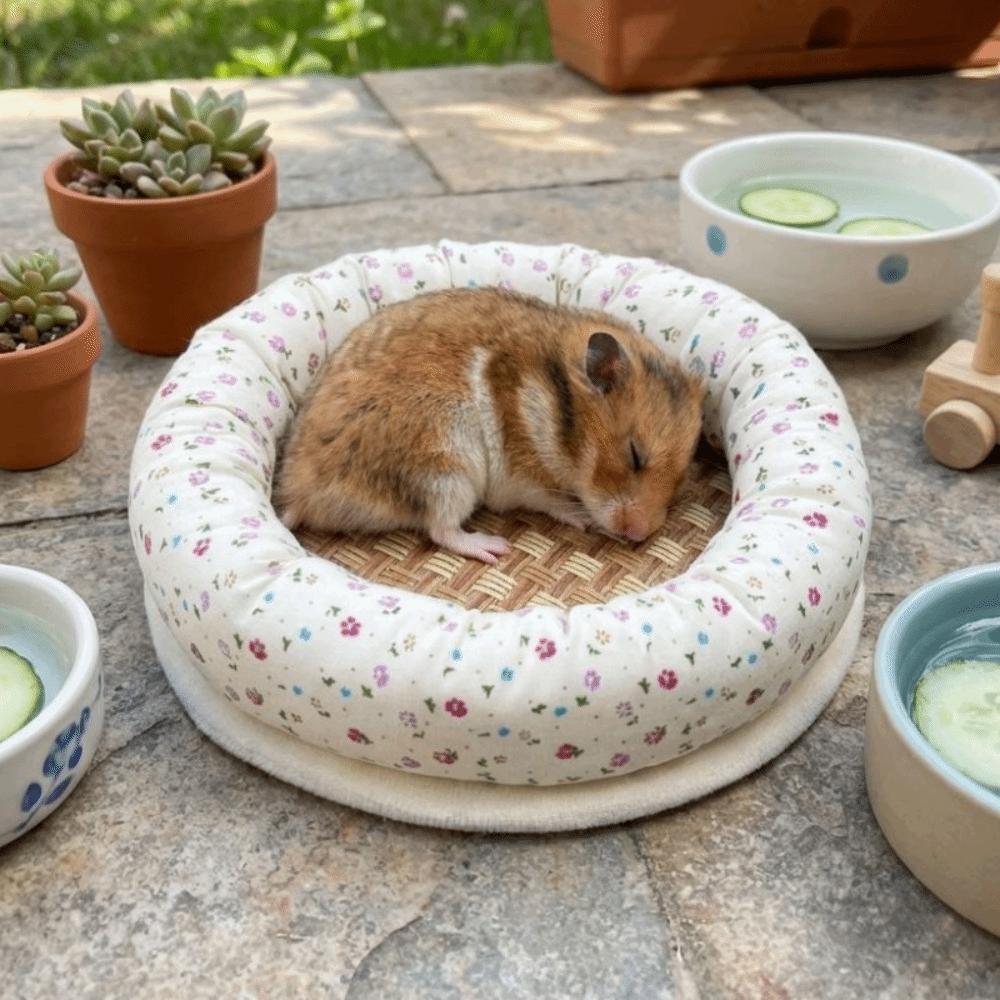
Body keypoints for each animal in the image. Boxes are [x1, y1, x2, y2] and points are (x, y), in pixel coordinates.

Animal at [276, 288, 705, 564]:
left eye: (682, 477)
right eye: (634, 455)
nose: (639, 535)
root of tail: (301, 495)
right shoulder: (520, 477)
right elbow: (551, 501)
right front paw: (584, 521)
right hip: (447, 468)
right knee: (441, 529)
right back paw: (494, 548)